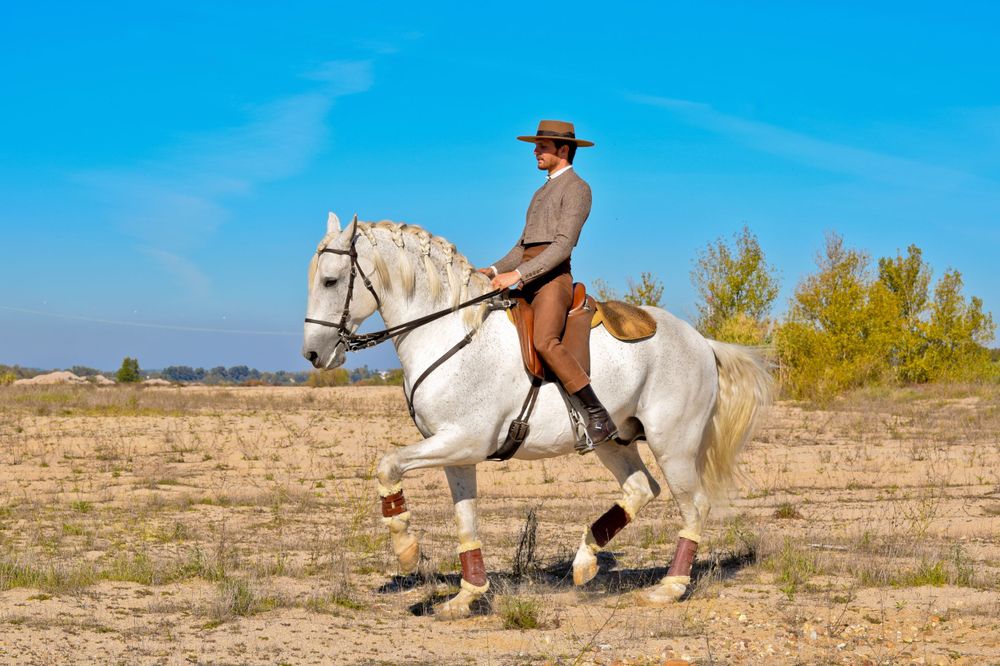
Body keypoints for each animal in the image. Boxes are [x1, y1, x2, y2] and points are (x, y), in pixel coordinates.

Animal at [302, 213, 773, 619]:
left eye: (331, 280)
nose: (313, 355)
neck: (449, 334)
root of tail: (702, 341)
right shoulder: (456, 453)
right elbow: (465, 518)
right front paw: (467, 596)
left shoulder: (463, 441)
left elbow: (388, 465)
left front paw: (407, 550)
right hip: (614, 441)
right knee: (642, 489)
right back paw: (585, 561)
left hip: (672, 444)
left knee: (693, 506)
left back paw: (669, 588)